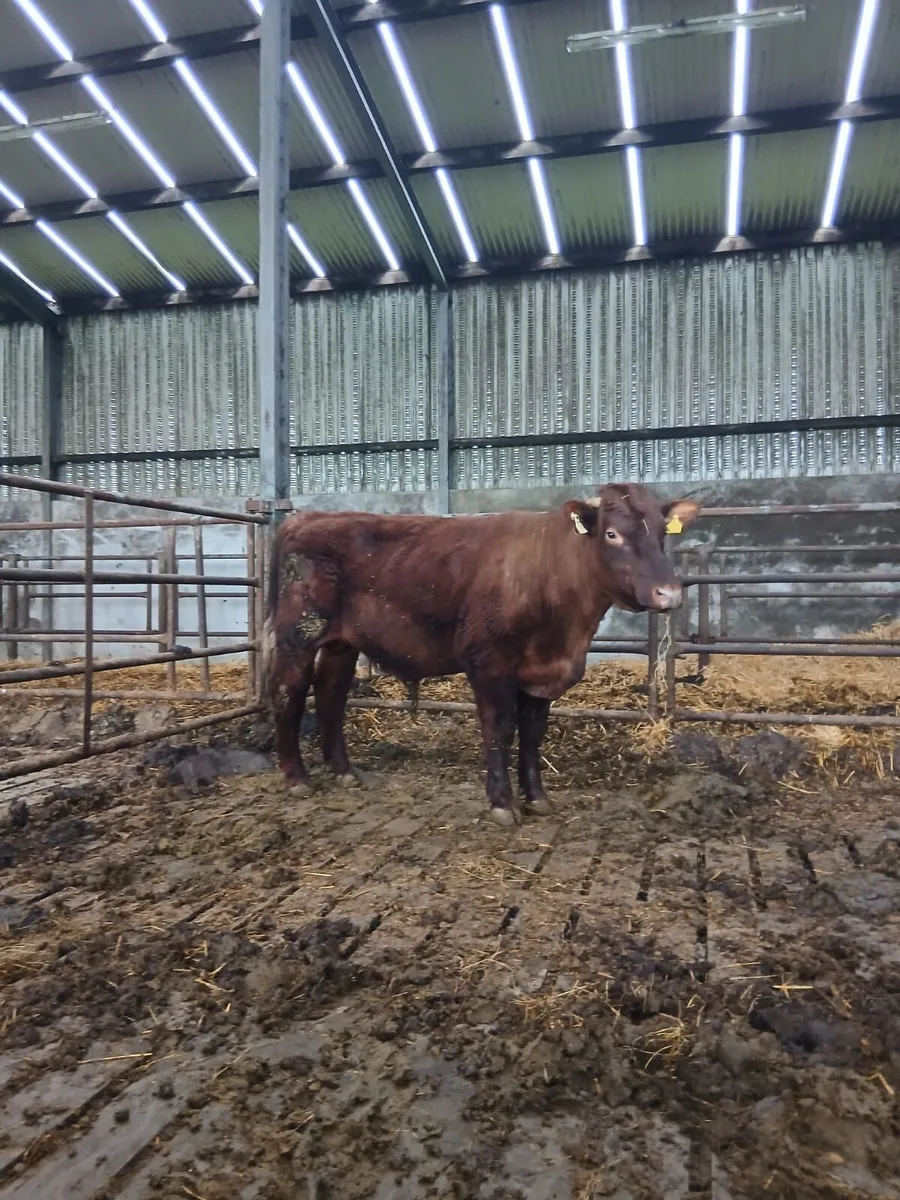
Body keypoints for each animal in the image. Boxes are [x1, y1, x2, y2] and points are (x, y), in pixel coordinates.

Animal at [262, 484, 701, 826]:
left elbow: (533, 734)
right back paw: (297, 777)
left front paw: (537, 798)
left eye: (662, 534)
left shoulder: (541, 674)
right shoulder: (487, 663)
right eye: (611, 534)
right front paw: (502, 802)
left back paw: (344, 771)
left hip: (342, 642)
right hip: (298, 633)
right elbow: (500, 729)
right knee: (289, 691)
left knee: (331, 693)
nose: (670, 593)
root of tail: (304, 519)